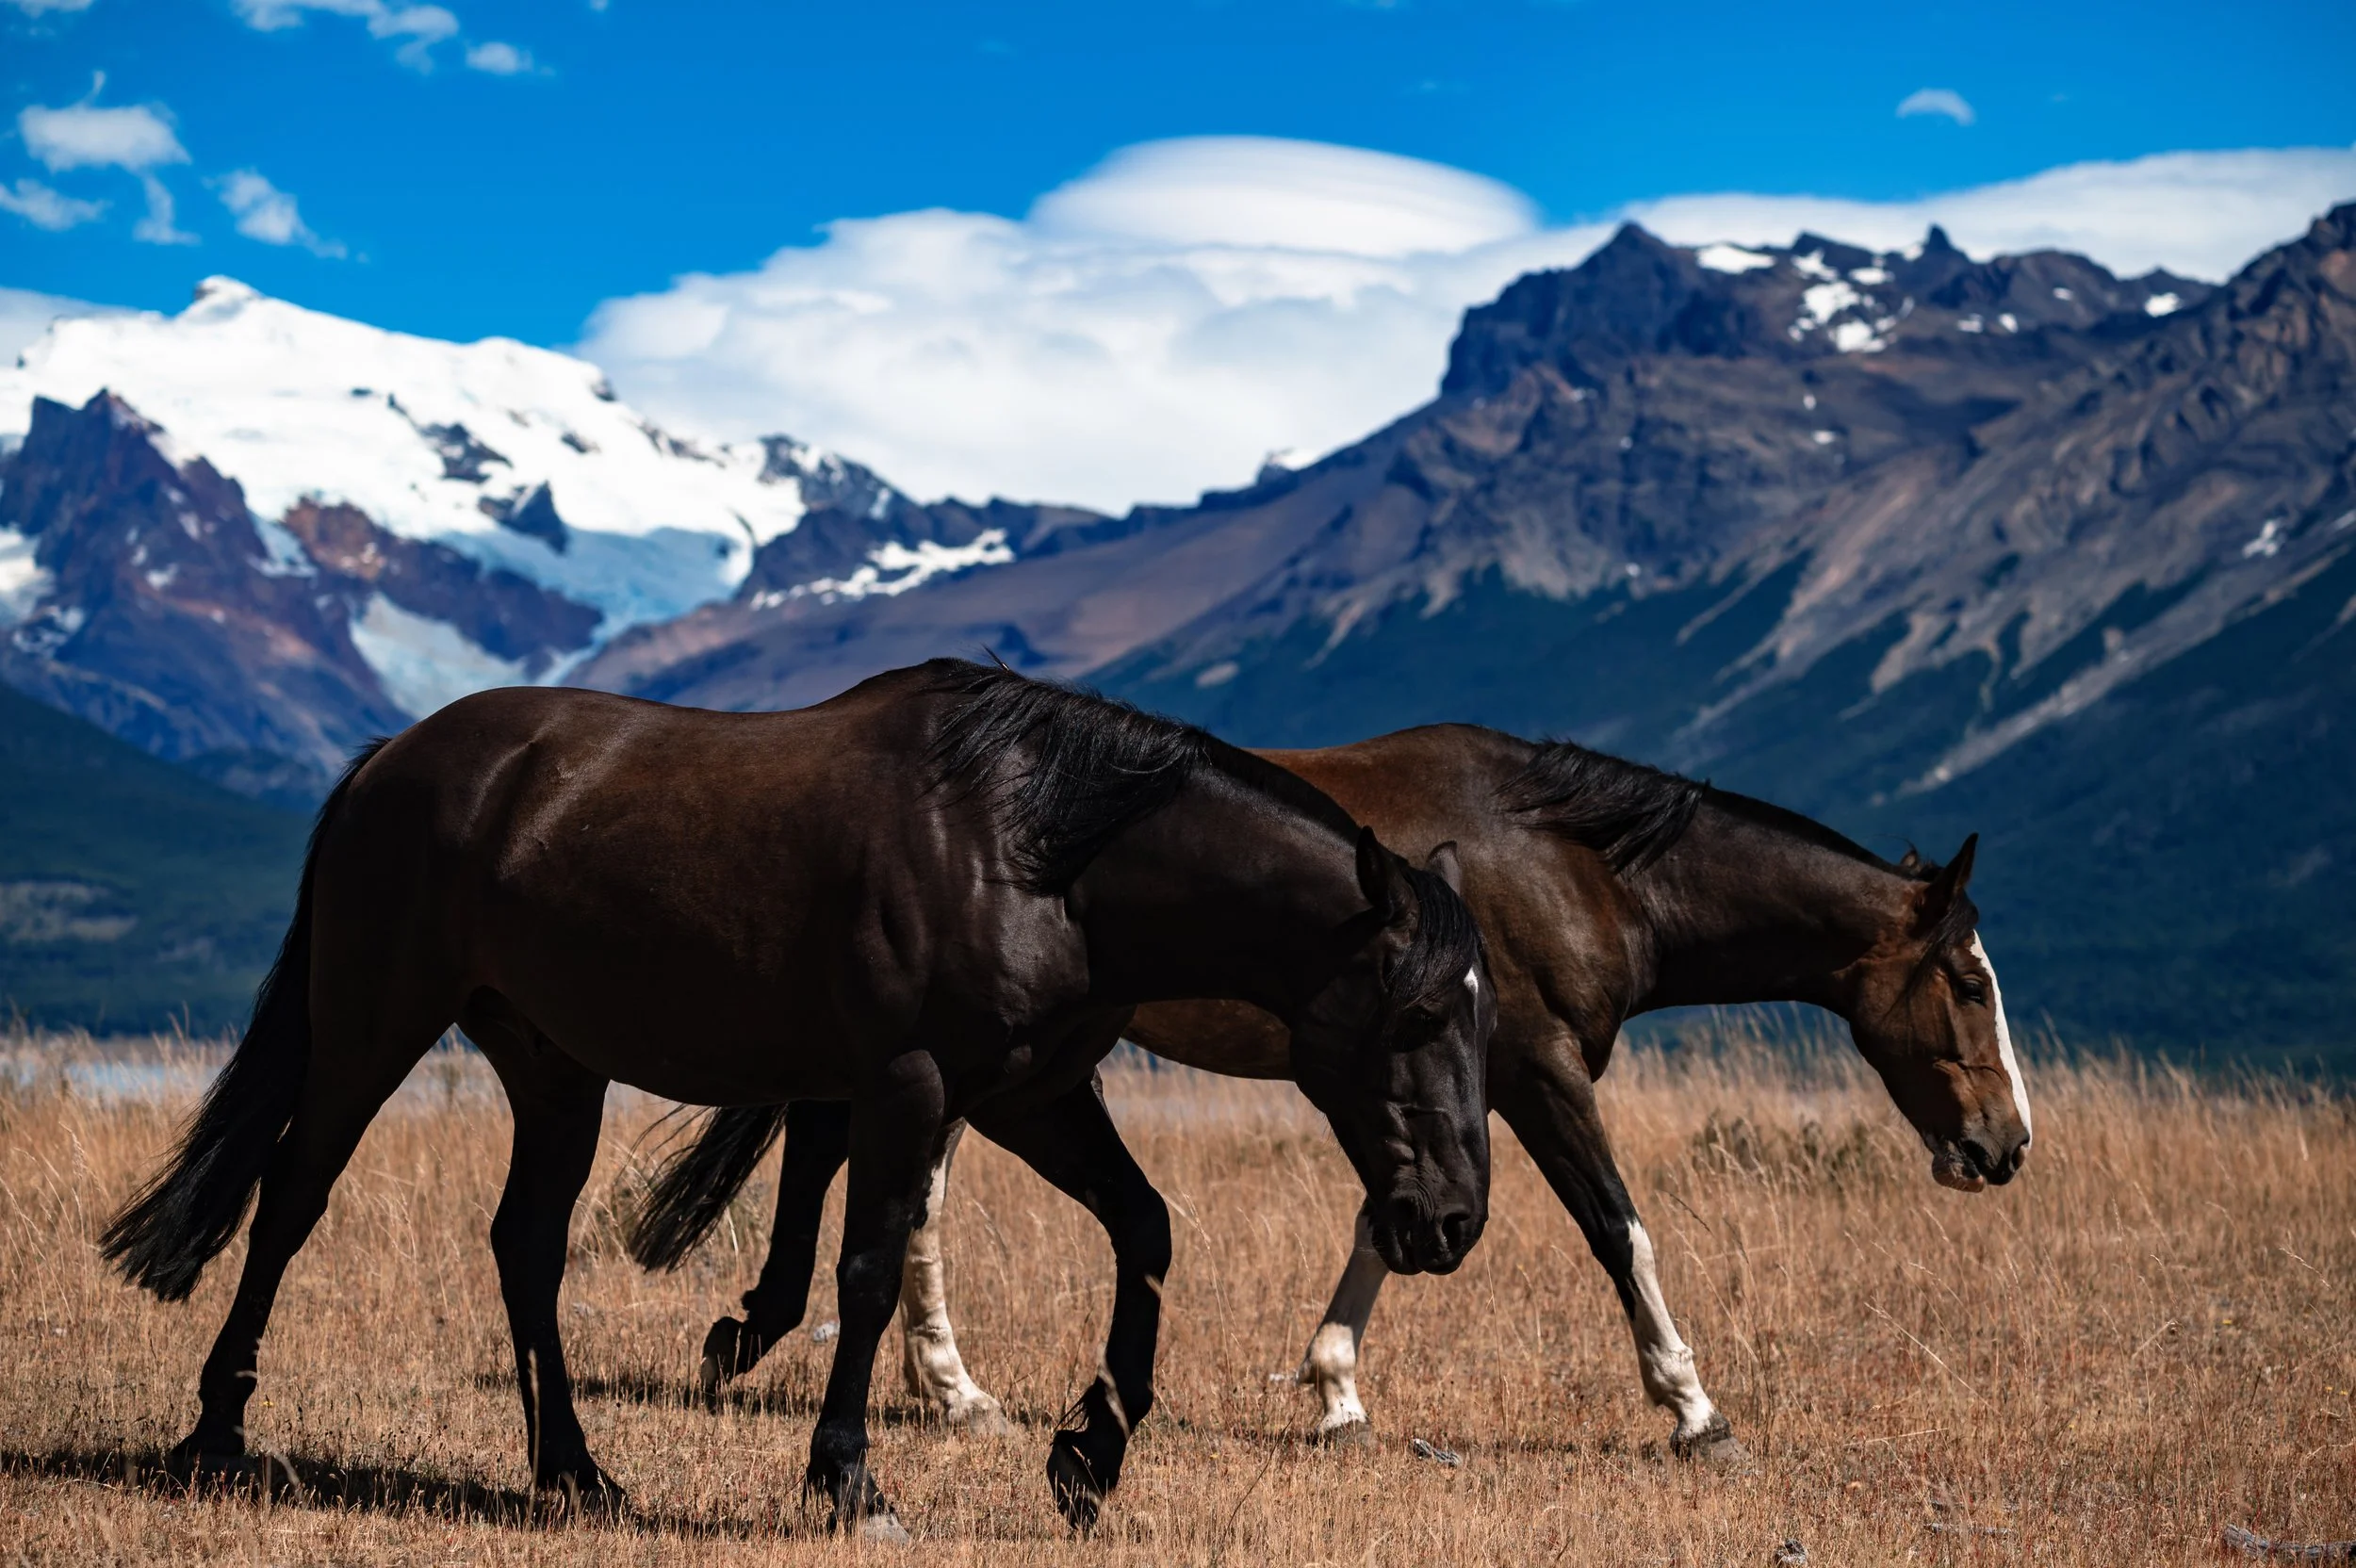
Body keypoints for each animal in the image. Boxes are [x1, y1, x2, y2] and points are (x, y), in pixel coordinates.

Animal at [98, 662, 1496, 1537]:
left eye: (1486, 1016)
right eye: (1420, 1015)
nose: (1448, 1223)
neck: (1043, 849)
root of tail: (393, 758)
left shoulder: (1035, 1093)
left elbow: (1143, 1228)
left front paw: (1087, 1455)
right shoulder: (908, 1087)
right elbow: (866, 1272)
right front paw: (850, 1483)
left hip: (554, 1068)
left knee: (524, 1249)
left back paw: (574, 1472)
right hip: (371, 1026)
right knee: (290, 1199)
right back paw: (214, 1436)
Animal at [660, 721, 2032, 1460]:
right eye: (1969, 981)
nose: (2005, 1145)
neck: (1569, 863)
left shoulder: (1432, 1087)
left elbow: (1390, 1220)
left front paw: (1334, 1389)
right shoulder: (1534, 1073)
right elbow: (1619, 1229)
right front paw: (1694, 1408)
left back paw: (897, 1369)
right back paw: (916, 1376)